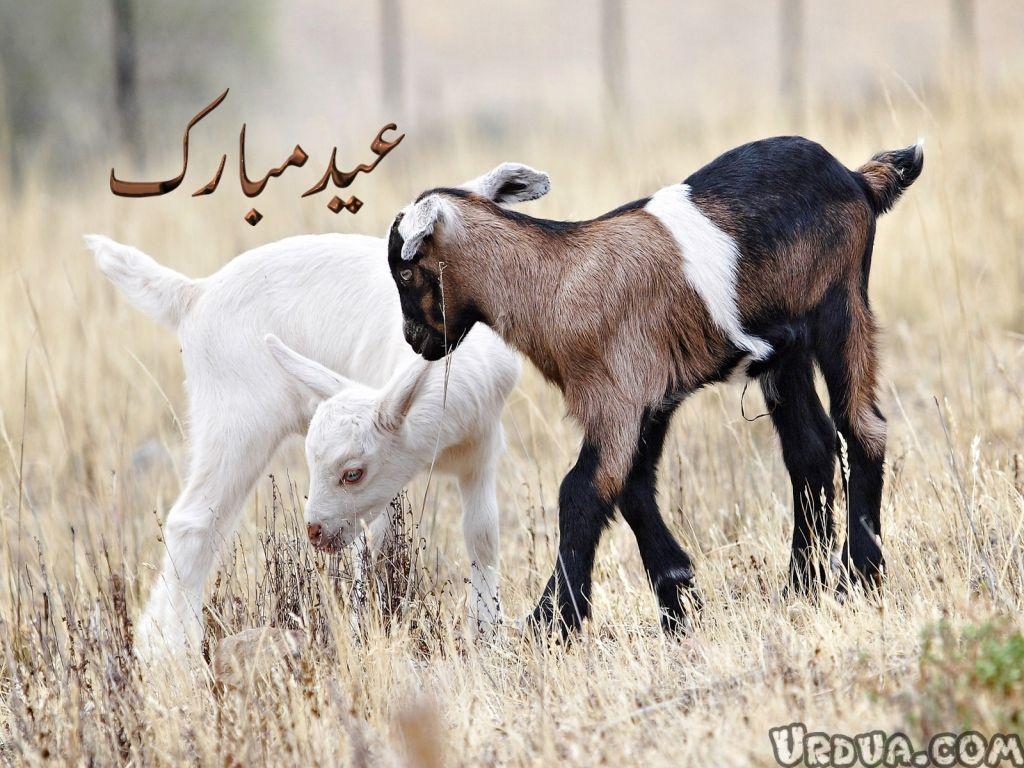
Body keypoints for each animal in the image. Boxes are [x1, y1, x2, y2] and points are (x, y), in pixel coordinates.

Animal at [86, 228, 521, 659]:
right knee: (192, 523)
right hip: (235, 420)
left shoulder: (480, 454)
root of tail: (195, 293)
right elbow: (374, 548)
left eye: (352, 473)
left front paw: (488, 636)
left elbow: (482, 536)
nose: (314, 531)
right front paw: (365, 633)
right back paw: (174, 653)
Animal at [385, 137, 924, 634]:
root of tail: (856, 179)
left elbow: (581, 492)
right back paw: (801, 585)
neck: (554, 281)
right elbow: (632, 489)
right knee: (810, 449)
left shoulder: (618, 398)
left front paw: (552, 623)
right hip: (785, 351)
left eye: (406, 270)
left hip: (840, 305)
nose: (415, 341)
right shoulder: (652, 401)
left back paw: (860, 576)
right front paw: (678, 601)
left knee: (862, 427)